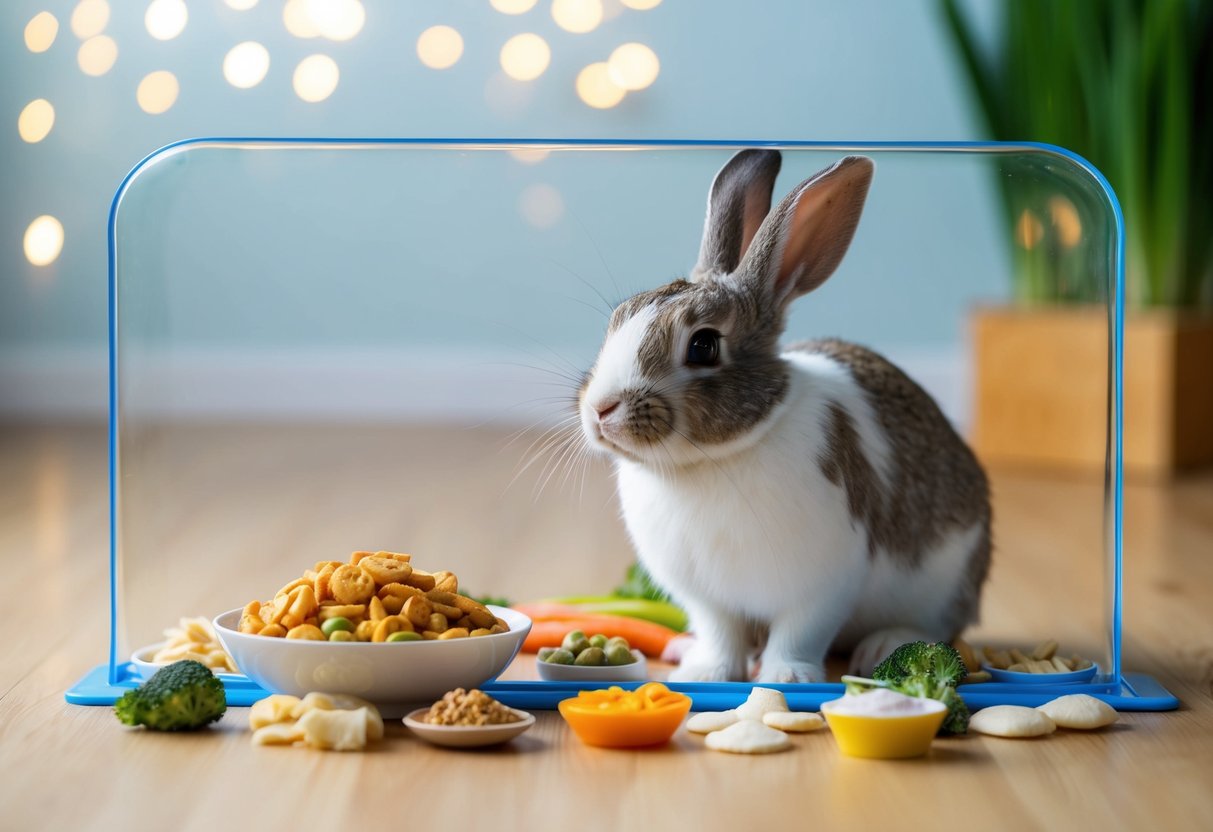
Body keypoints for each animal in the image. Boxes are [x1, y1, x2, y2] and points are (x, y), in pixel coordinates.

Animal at [576, 149, 991, 683]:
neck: (712, 461)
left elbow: (799, 633)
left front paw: (786, 678)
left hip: (946, 582)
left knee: (938, 628)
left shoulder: (824, 584)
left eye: (704, 345)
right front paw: (706, 674)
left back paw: (883, 645)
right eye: (618, 319)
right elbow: (720, 633)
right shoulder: (708, 599)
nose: (600, 409)